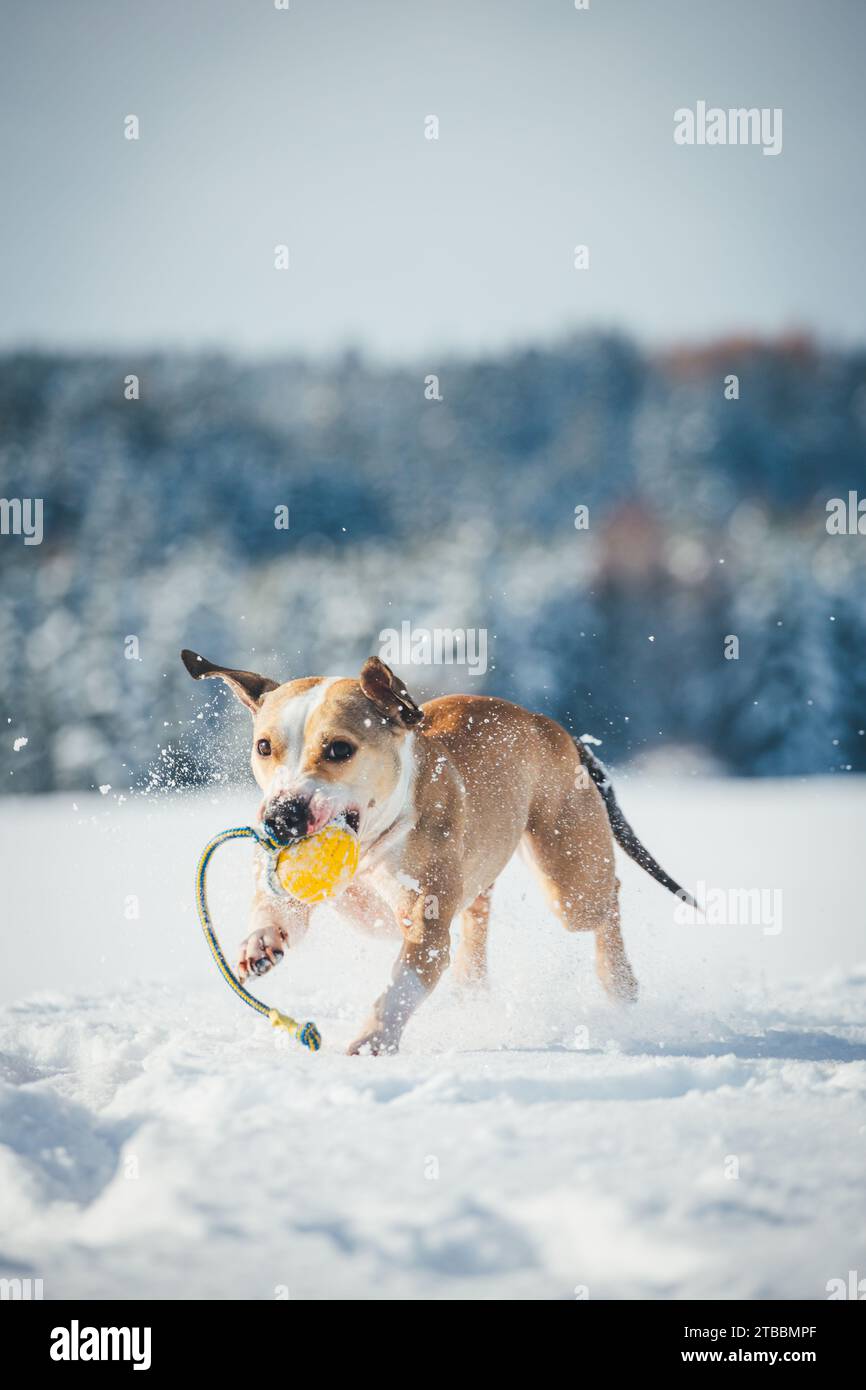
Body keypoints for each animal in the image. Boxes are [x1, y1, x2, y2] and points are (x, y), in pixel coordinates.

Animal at [179, 650, 695, 1050]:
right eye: (264, 747)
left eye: (340, 749)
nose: (281, 818)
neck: (370, 845)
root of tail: (549, 726)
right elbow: (277, 908)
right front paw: (260, 943)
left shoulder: (425, 929)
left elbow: (402, 985)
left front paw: (373, 1039)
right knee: (479, 917)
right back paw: (472, 989)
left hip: (569, 880)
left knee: (606, 898)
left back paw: (619, 981)